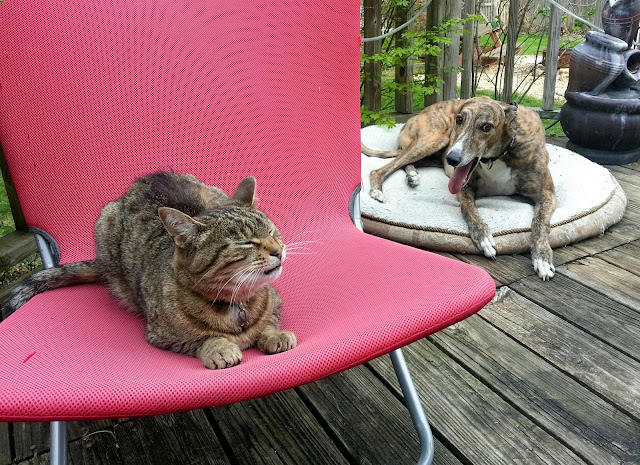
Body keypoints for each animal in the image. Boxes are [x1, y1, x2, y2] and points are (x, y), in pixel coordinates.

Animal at [5, 172, 297, 369]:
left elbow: (269, 322)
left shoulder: (276, 300)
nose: (278, 250)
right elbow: (202, 339)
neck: (236, 303)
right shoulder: (161, 336)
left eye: (271, 232)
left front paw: (274, 335)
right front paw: (219, 348)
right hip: (106, 226)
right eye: (245, 242)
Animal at [362, 96, 556, 281]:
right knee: (384, 167)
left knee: (406, 162)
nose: (452, 159)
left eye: (487, 127)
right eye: (459, 119)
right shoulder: (465, 187)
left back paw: (412, 175)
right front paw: (484, 238)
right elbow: (469, 210)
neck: (501, 154)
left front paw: (542, 258)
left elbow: (539, 222)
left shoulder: (547, 195)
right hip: (435, 140)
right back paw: (378, 189)